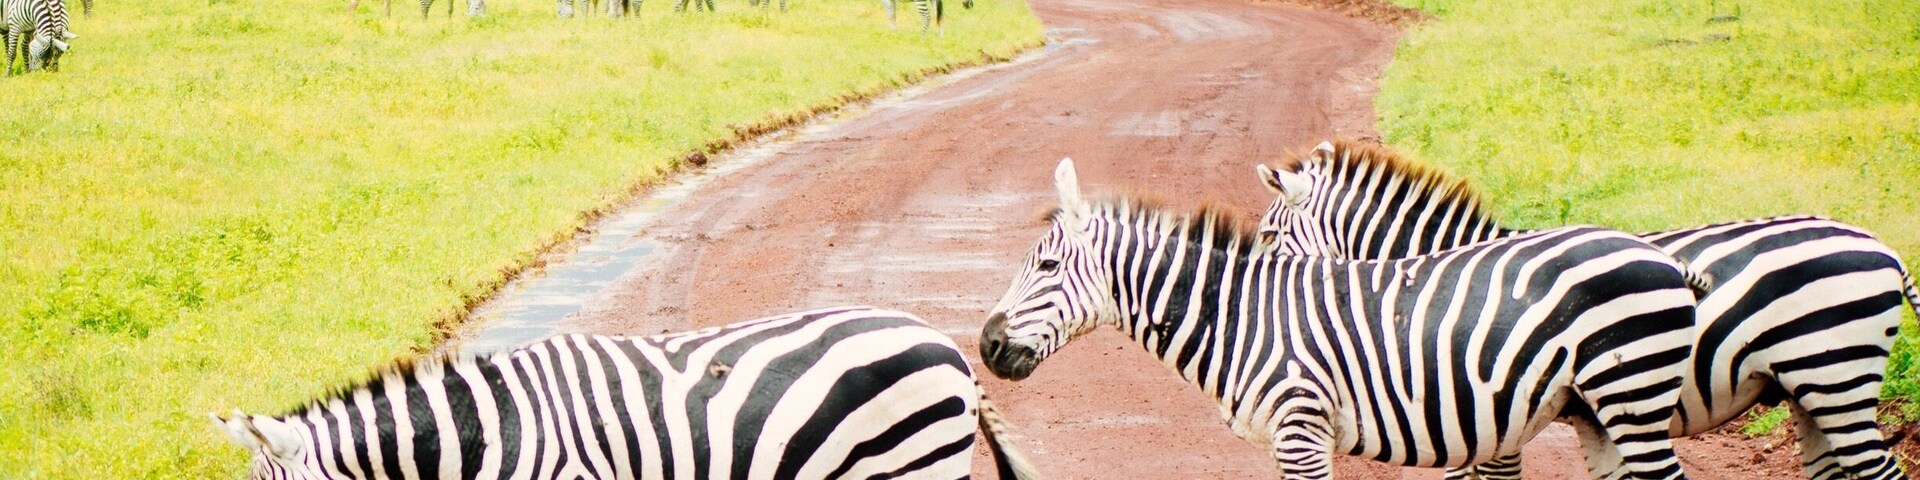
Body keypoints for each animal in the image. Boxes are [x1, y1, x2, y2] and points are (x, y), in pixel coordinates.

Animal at [980, 159, 1702, 479]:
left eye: (1047, 265)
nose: (984, 345)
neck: (1240, 318)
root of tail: (1658, 255)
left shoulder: (1301, 431)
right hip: (1598, 413)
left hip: (1632, 397)